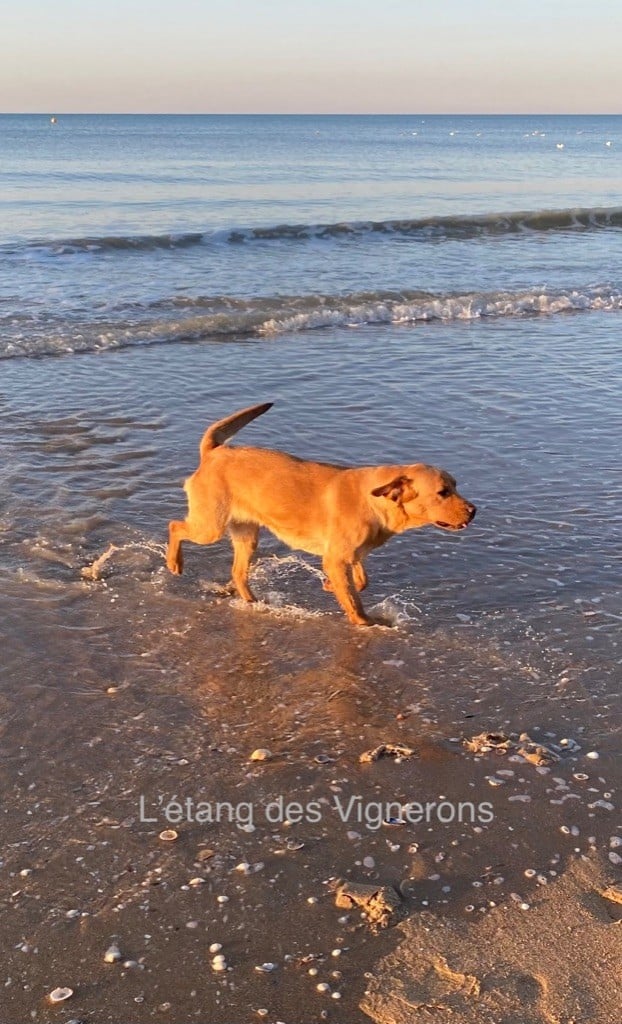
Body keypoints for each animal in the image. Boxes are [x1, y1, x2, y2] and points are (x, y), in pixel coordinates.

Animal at [167, 399, 477, 622]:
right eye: (443, 492)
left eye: (455, 485)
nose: (474, 510)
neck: (376, 502)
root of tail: (214, 451)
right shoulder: (336, 558)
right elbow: (354, 602)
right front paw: (366, 623)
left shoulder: (347, 556)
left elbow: (361, 581)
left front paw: (331, 586)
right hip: (210, 526)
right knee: (175, 526)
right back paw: (174, 562)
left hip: (246, 536)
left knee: (237, 572)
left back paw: (251, 601)